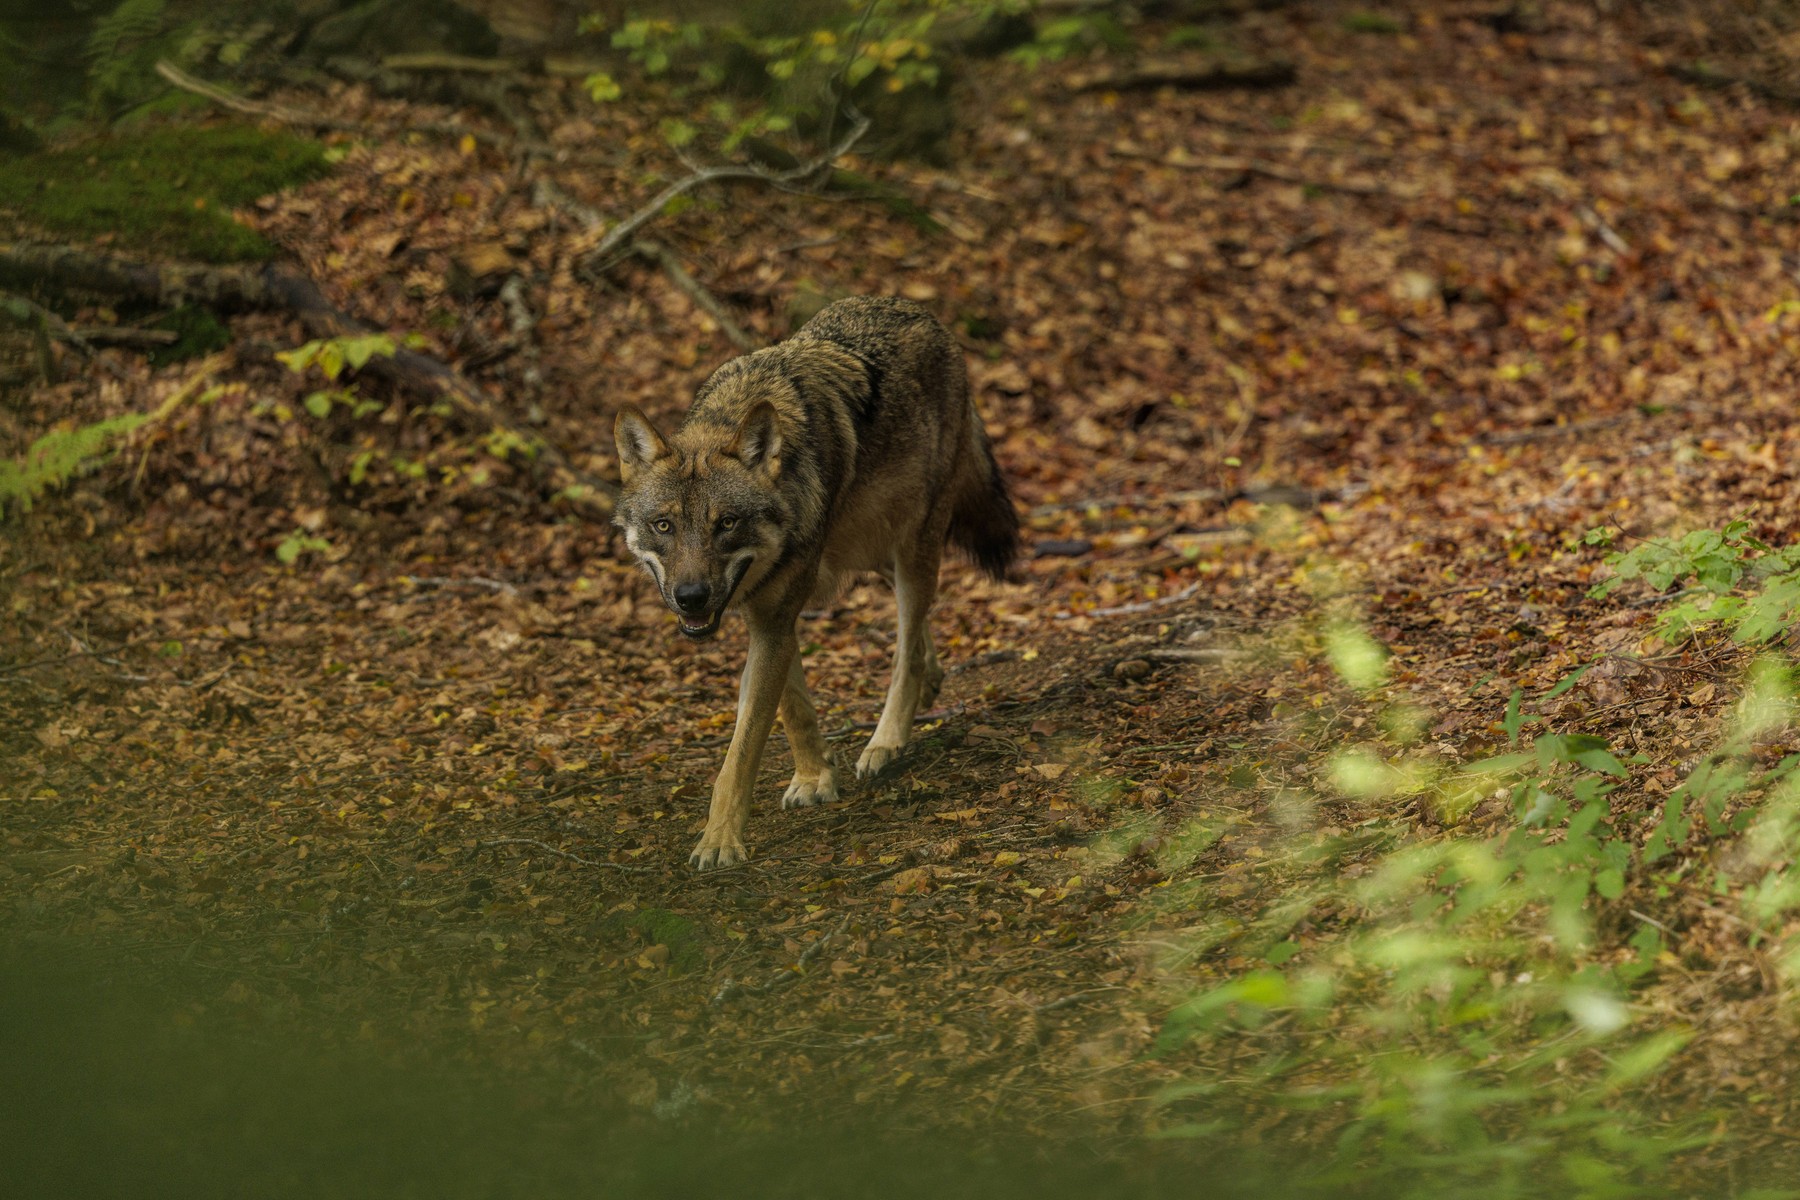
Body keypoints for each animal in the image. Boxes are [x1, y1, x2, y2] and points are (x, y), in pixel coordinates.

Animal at [612, 296, 1020, 870]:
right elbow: (792, 709)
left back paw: (886, 742)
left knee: (906, 650)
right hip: (869, 552)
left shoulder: (777, 617)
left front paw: (719, 841)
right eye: (664, 525)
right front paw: (813, 777)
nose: (691, 598)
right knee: (918, 637)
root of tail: (922, 312)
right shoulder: (763, 614)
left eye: (726, 524)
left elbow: (740, 754)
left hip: (912, 545)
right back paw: (931, 682)